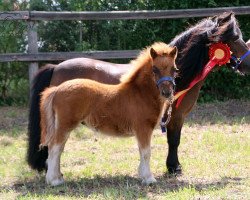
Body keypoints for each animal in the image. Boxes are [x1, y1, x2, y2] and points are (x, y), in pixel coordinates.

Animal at [39, 42, 178, 186]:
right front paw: (149, 178)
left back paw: (58, 177)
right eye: (155, 69)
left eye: (174, 69)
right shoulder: (143, 128)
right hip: (65, 125)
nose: (167, 92)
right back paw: (54, 180)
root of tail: (57, 89)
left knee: (58, 148)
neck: (140, 93)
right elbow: (146, 152)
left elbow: (141, 152)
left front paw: (142, 175)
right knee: (55, 148)